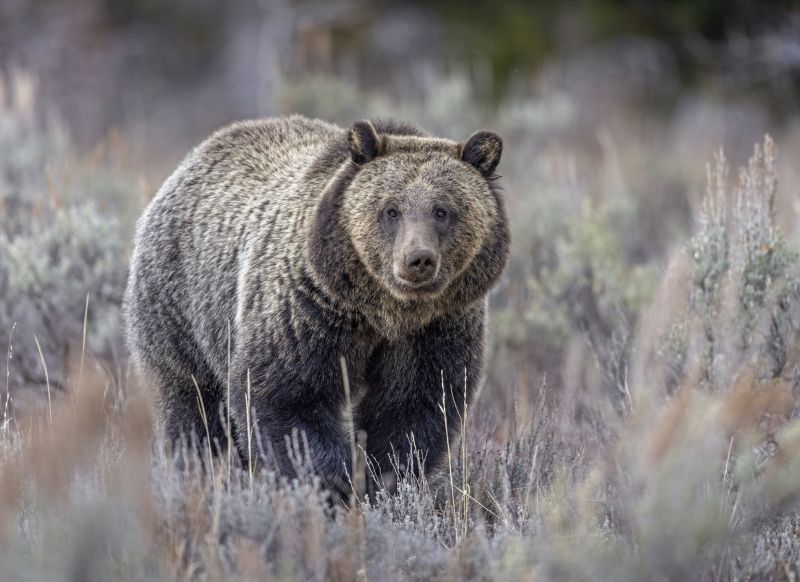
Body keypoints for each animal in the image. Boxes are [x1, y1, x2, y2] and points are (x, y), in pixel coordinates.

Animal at [126, 116, 512, 500]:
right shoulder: (310, 311)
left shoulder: (435, 330)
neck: (385, 311)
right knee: (194, 409)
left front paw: (380, 482)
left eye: (442, 210)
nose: (418, 260)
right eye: (391, 209)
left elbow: (413, 411)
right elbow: (288, 399)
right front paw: (332, 483)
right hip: (182, 305)